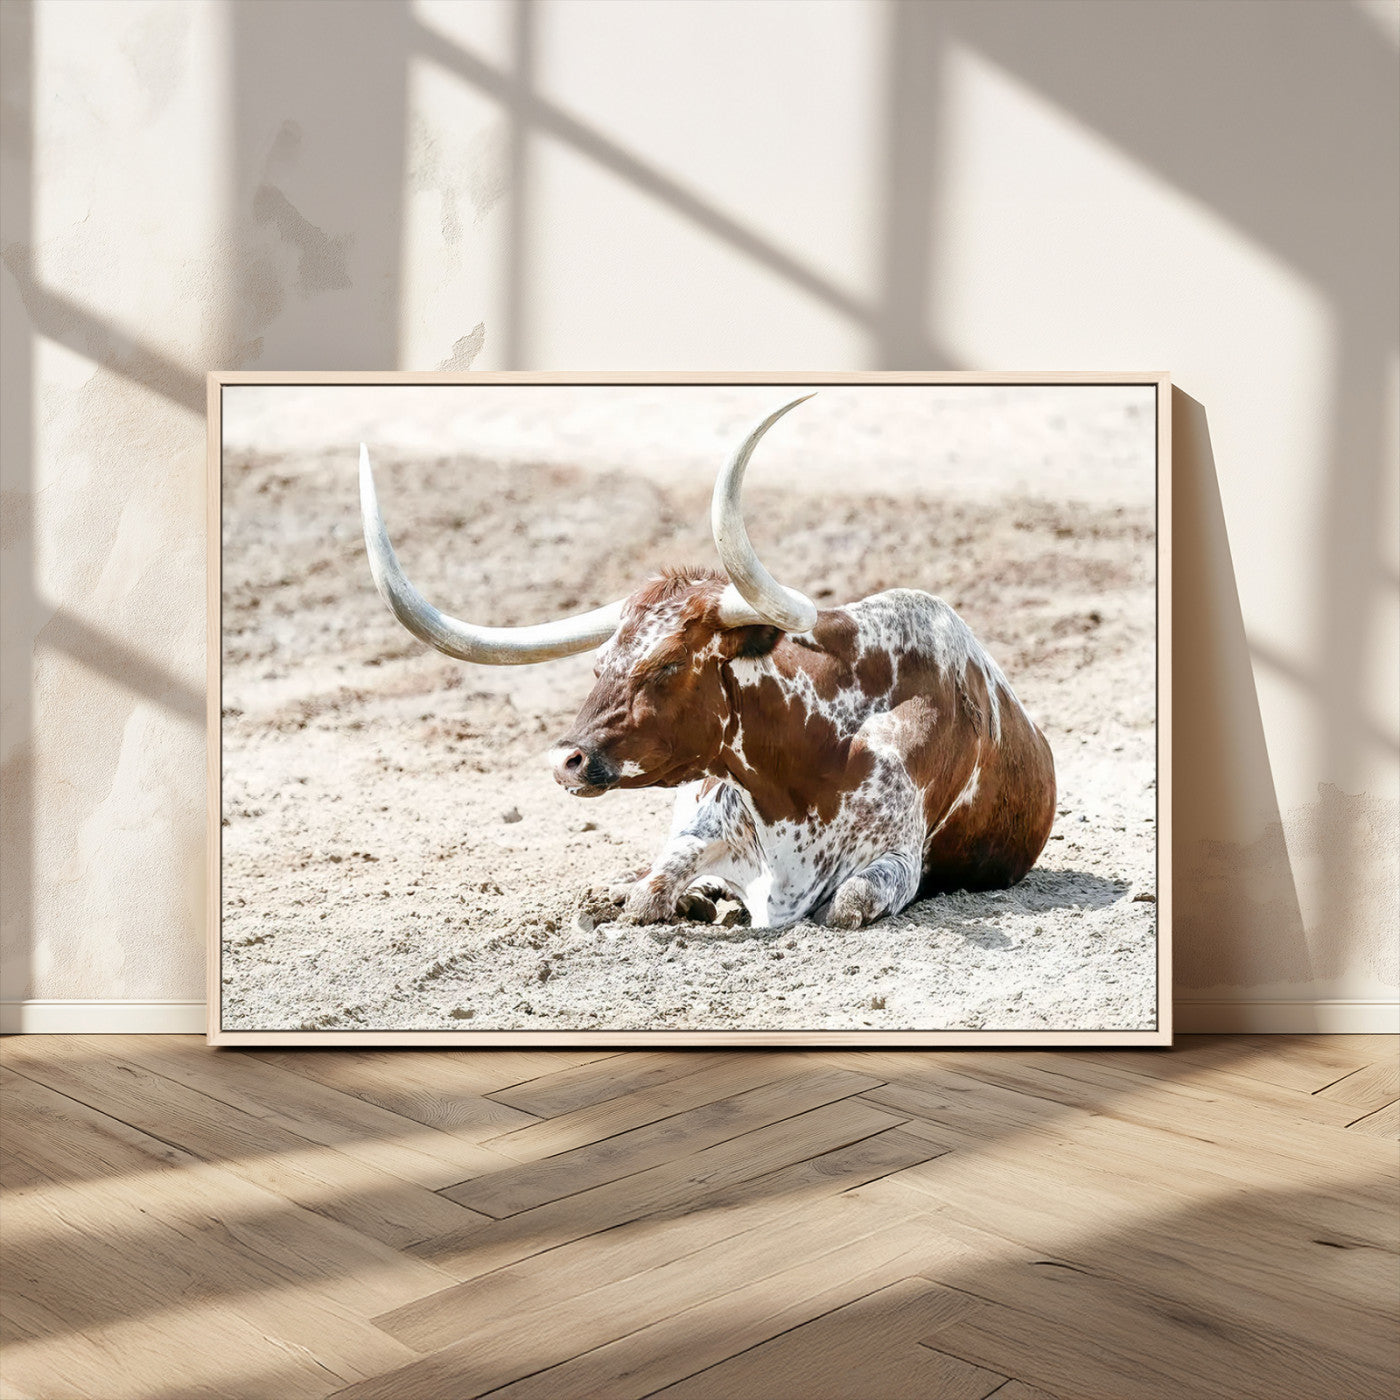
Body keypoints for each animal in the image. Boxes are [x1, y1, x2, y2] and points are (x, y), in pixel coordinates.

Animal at [360, 395, 1056, 930]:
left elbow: (846, 902)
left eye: (668, 664)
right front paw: (660, 897)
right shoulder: (702, 824)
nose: (566, 761)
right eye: (599, 664)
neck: (812, 761)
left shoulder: (896, 862)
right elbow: (650, 890)